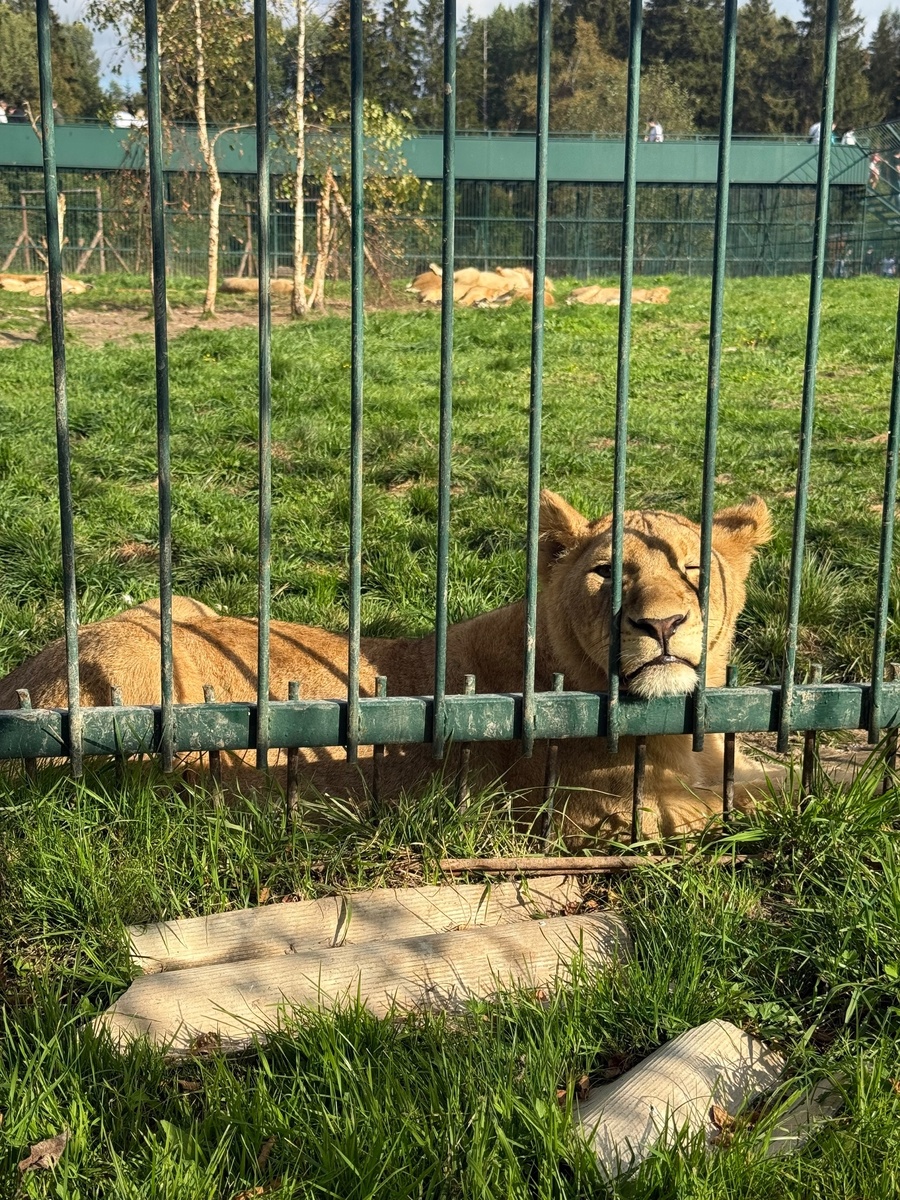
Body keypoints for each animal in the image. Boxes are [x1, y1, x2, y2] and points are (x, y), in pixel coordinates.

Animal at [0, 492, 786, 842]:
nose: (663, 625)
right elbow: (753, 801)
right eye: (604, 575)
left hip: (172, 605)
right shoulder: (592, 813)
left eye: (692, 569)